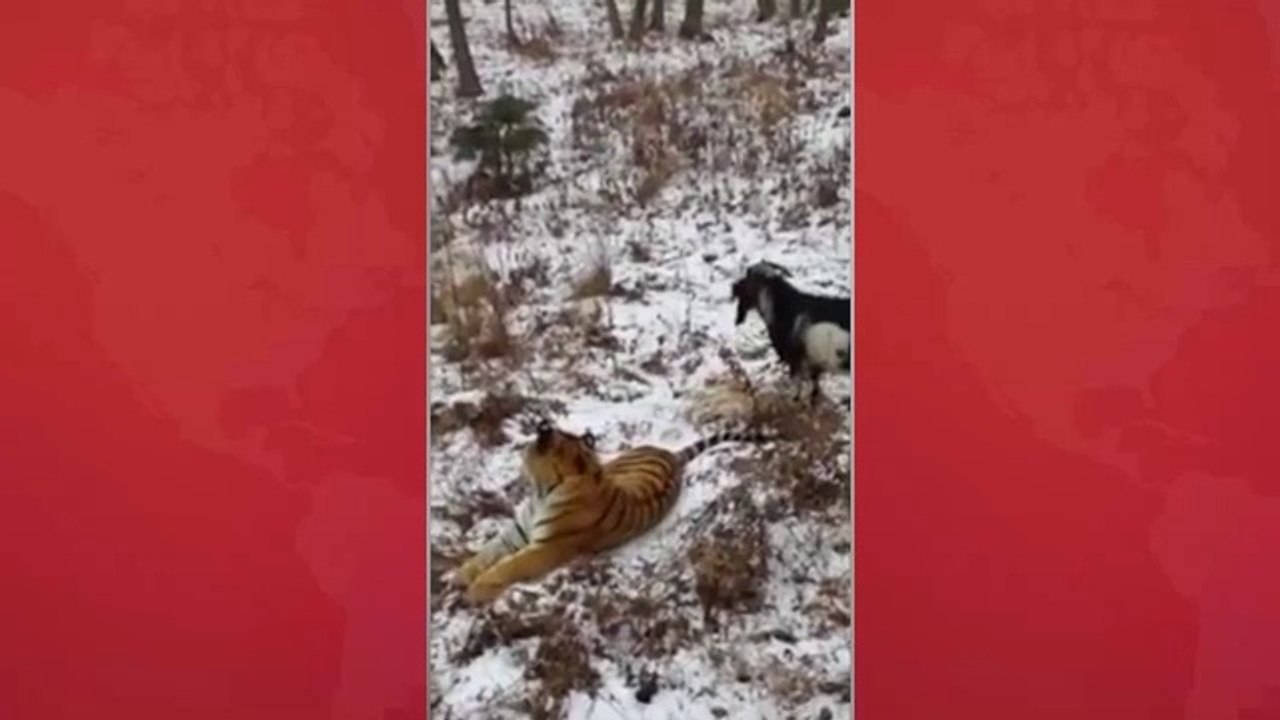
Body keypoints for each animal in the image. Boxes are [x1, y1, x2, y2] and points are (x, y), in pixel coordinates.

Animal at [450, 418, 773, 604]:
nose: (542, 427)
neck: (545, 489)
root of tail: (671, 455)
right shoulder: (519, 529)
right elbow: (489, 551)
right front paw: (460, 574)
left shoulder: (546, 548)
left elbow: (508, 566)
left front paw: (476, 590)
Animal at [731, 261, 850, 406]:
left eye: (747, 277)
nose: (733, 287)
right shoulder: (813, 363)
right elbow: (814, 385)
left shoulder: (794, 360)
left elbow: (797, 385)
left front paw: (795, 399)